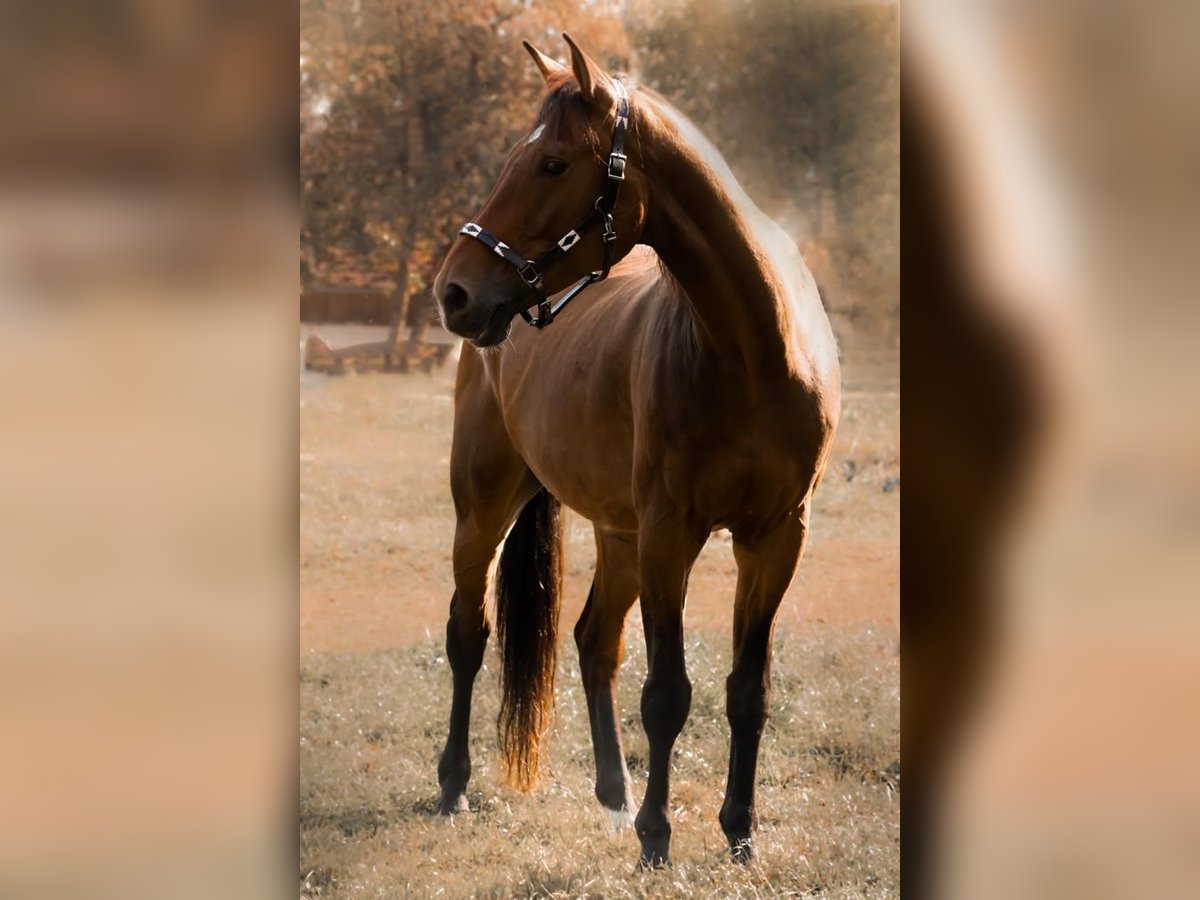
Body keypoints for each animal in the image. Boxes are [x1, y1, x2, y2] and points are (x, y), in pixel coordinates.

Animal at [429, 35, 835, 868]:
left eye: (552, 163)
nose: (454, 292)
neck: (753, 355)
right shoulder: (669, 534)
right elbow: (668, 693)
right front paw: (657, 838)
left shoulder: (776, 536)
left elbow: (747, 689)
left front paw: (740, 832)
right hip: (485, 506)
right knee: (468, 635)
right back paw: (454, 786)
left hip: (617, 533)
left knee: (593, 641)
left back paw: (614, 796)